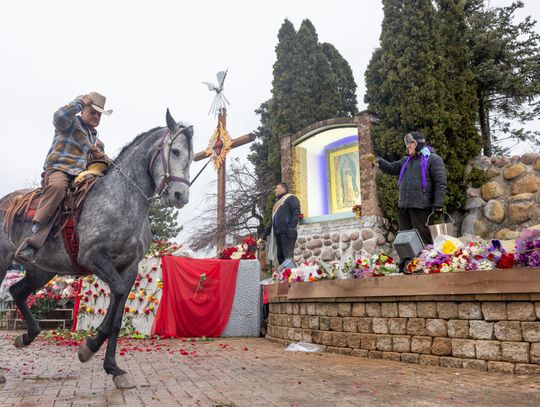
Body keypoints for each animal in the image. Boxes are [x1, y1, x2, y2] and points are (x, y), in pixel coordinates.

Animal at [0, 110, 193, 390]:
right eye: (175, 151)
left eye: (191, 156)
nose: (180, 196)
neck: (122, 200)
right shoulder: (93, 258)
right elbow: (117, 296)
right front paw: (89, 346)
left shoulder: (129, 268)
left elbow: (118, 316)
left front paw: (113, 368)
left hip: (41, 271)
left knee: (17, 291)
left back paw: (27, 336)